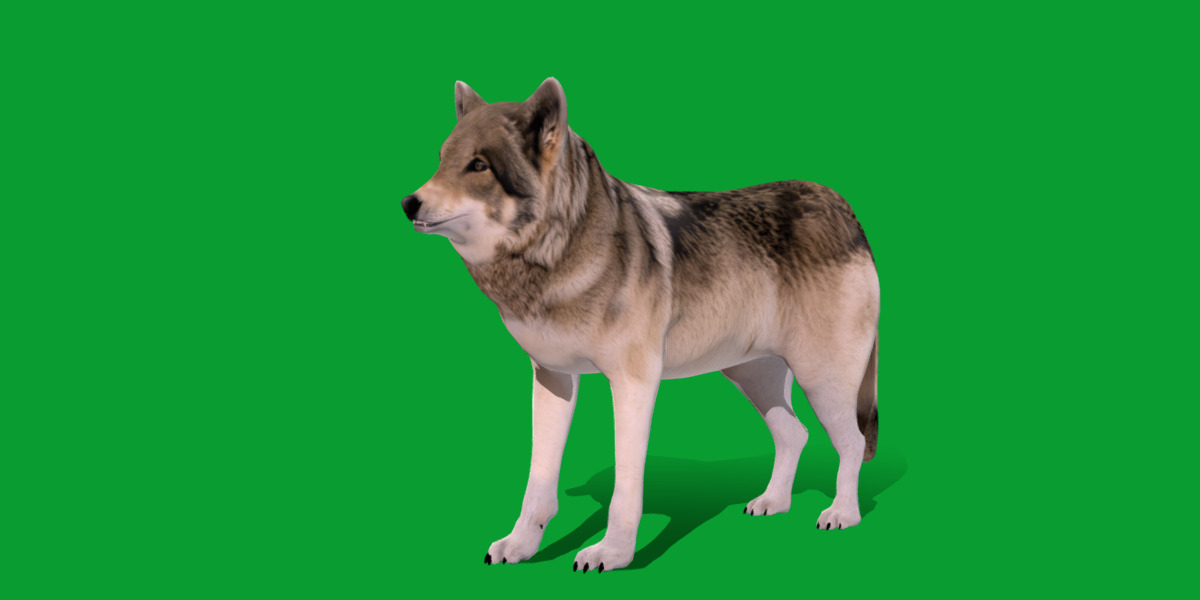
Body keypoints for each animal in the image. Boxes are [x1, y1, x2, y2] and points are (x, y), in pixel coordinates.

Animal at [402, 78, 880, 573]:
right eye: (442, 160)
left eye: (478, 165)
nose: (407, 203)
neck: (559, 252)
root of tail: (842, 206)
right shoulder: (553, 379)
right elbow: (538, 483)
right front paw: (521, 546)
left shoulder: (633, 383)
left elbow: (625, 486)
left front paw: (611, 554)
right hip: (752, 375)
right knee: (795, 434)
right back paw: (773, 502)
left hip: (822, 380)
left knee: (851, 441)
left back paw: (842, 513)